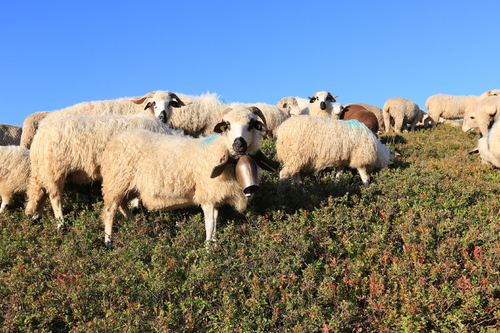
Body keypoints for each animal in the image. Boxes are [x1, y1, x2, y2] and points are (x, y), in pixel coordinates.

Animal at [25, 114, 178, 226]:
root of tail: (37, 140)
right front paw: (136, 209)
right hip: (54, 169)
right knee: (54, 197)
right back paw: (61, 224)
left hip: (43, 170)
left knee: (40, 194)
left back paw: (36, 218)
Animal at [100, 104, 282, 249]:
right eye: (228, 125)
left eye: (251, 125)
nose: (239, 144)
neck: (219, 150)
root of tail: (114, 141)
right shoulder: (207, 197)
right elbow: (209, 226)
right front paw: (208, 251)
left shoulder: (215, 198)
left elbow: (215, 226)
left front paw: (216, 247)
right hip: (115, 182)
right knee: (110, 211)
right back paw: (108, 243)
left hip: (126, 186)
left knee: (122, 206)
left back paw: (135, 228)